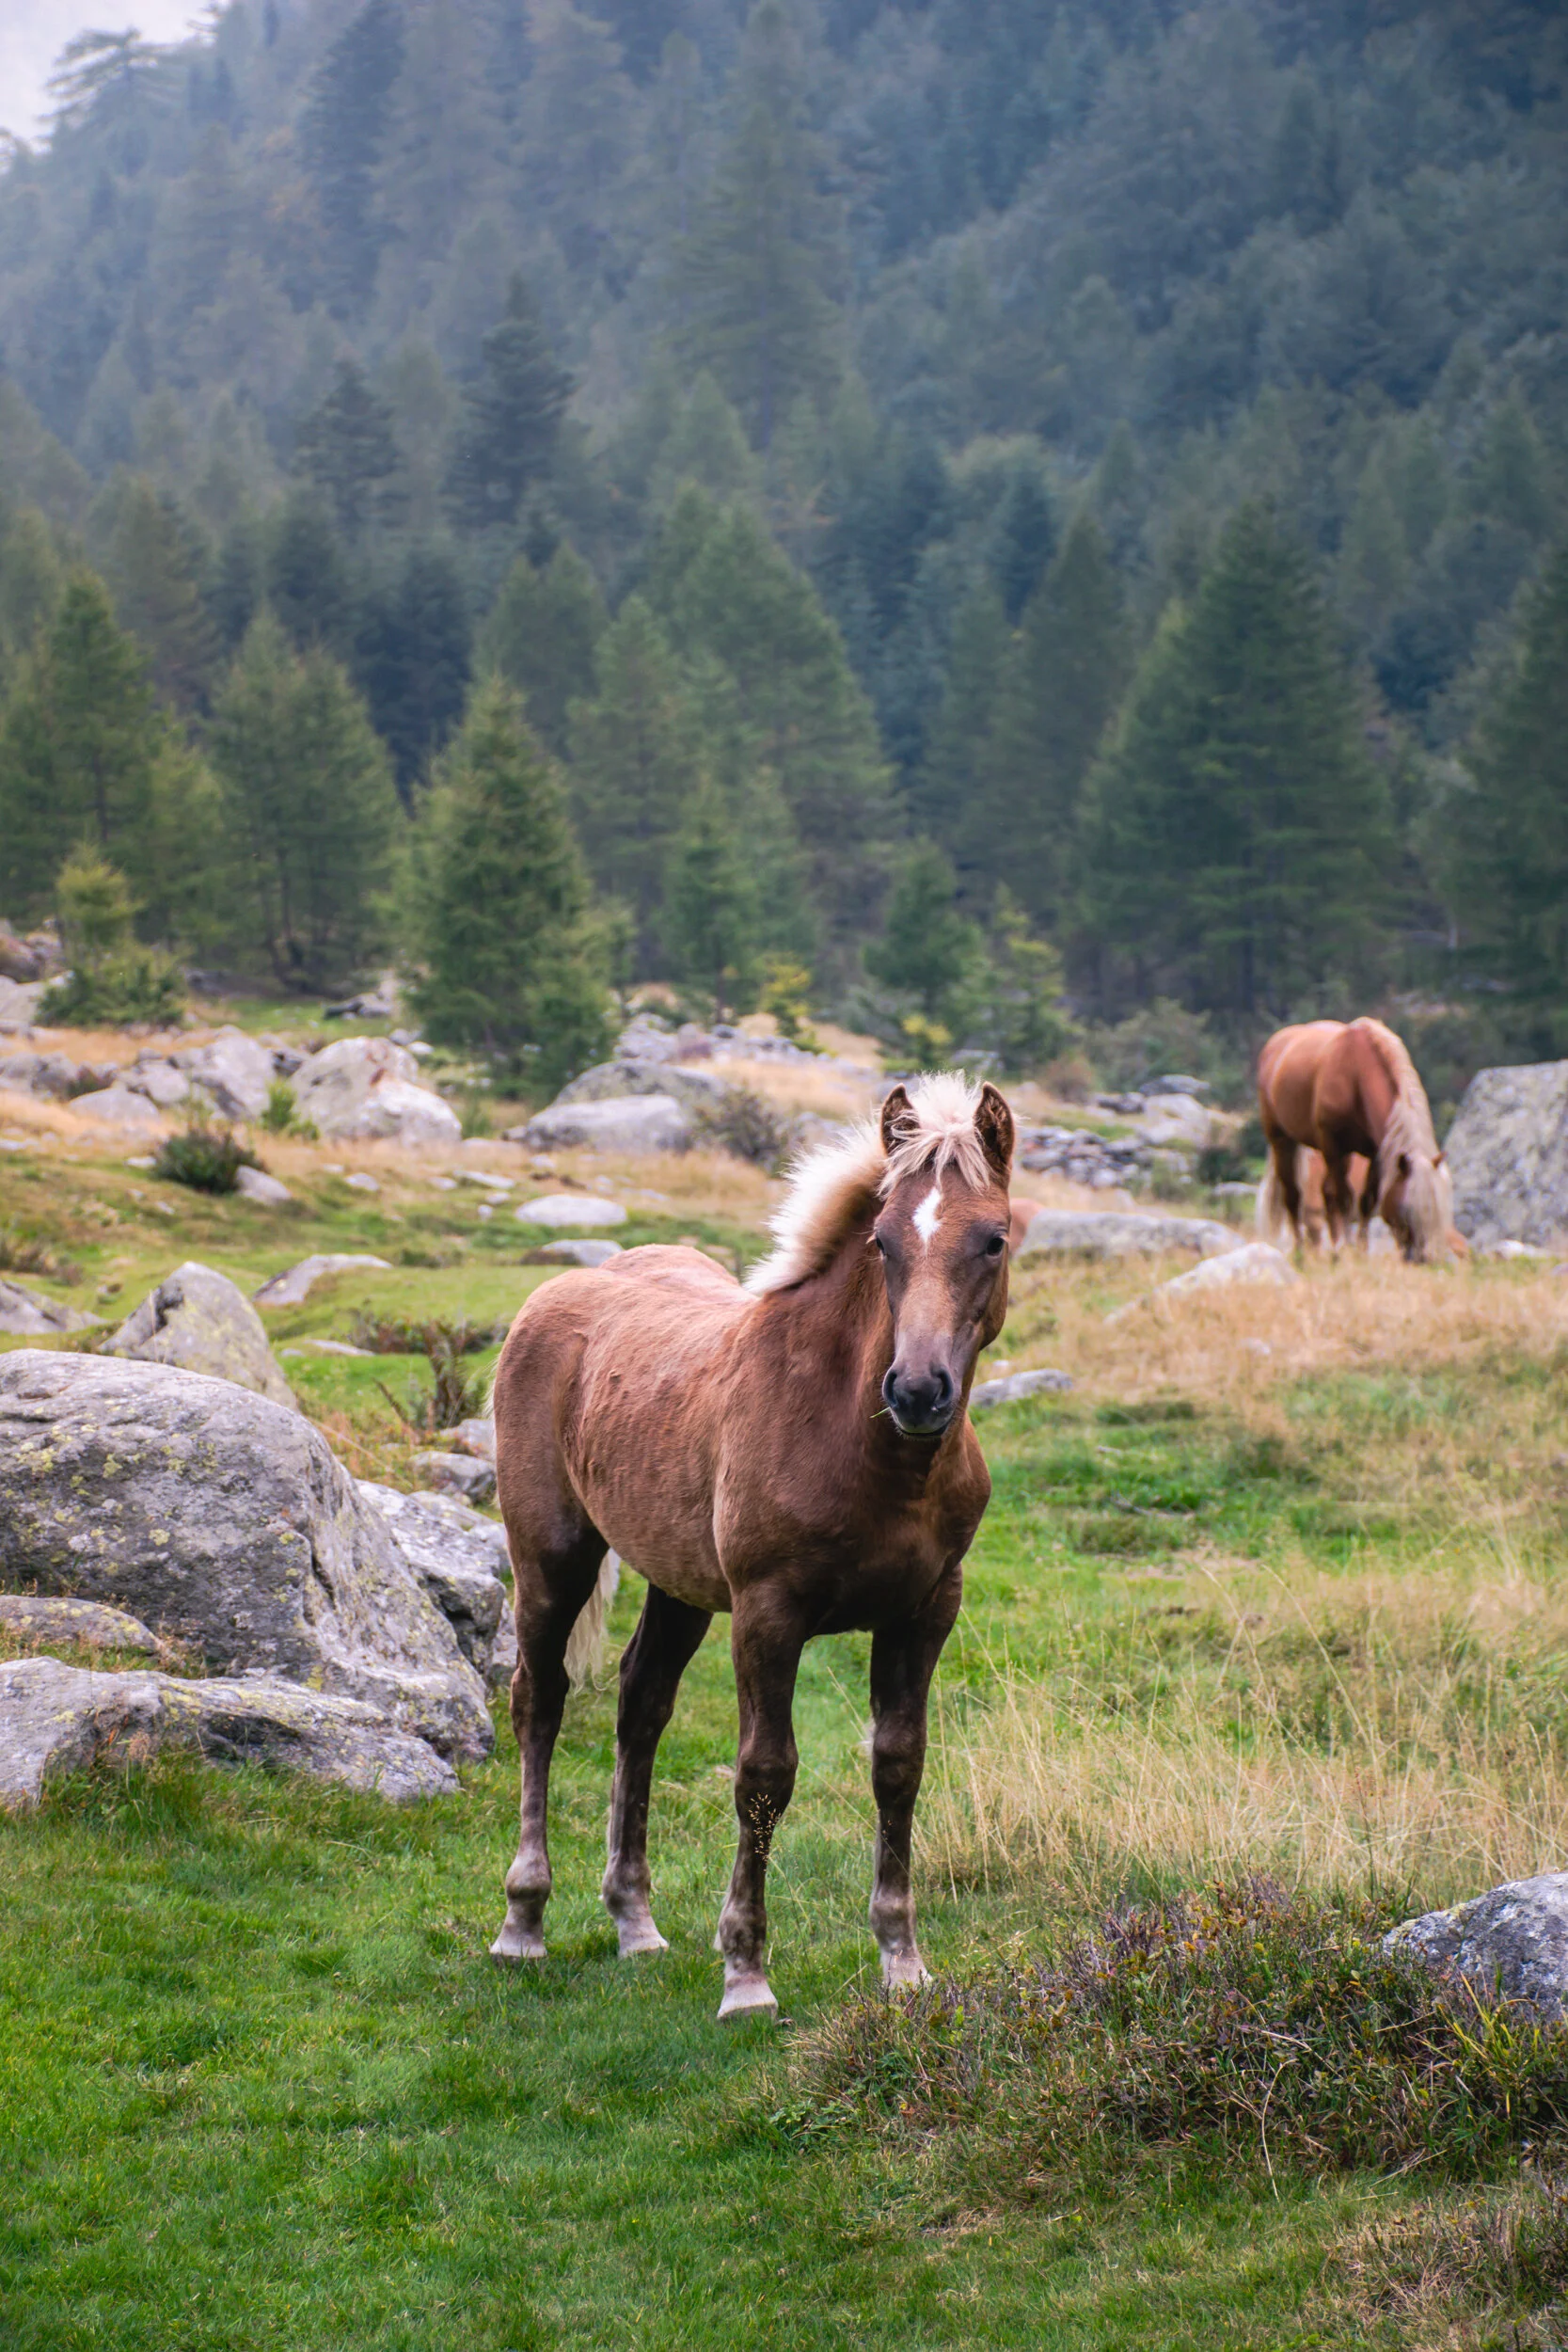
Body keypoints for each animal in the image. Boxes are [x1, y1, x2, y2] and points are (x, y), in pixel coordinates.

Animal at [488, 1072, 1014, 2021]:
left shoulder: (925, 1612)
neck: (867, 1450)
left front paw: (902, 1962)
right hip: (551, 1559)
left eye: (992, 1240)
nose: (917, 1392)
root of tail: (556, 1295)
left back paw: (635, 1922)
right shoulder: (768, 1614)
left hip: (678, 1583)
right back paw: (524, 1921)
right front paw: (745, 1974)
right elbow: (765, 1776)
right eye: (881, 1241)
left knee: (641, 1705)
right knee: (538, 1701)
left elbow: (899, 1765)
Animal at [1256, 1018, 1454, 1262]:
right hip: (1283, 1141)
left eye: (1435, 1209)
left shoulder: (1376, 1153)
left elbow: (1367, 1200)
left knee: (1325, 1193)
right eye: (1406, 1208)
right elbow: (1343, 1198)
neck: (1356, 1077)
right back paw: (1301, 1249)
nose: (1420, 1259)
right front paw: (1348, 1247)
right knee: (1293, 1194)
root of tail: (1276, 1043)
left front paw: (1360, 1251)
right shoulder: (1334, 1146)